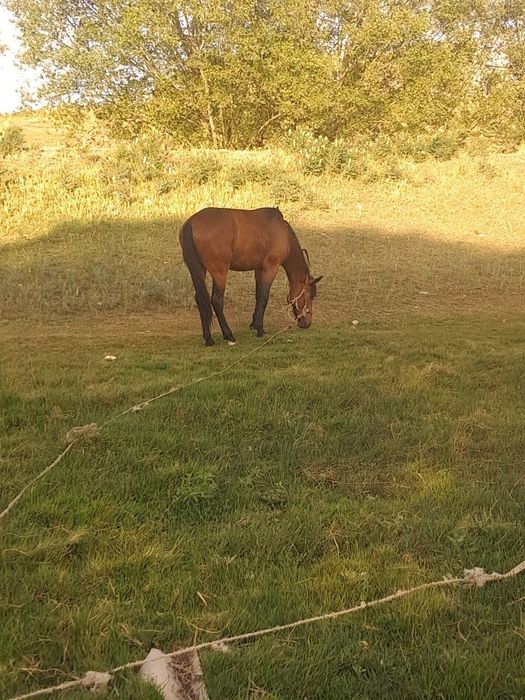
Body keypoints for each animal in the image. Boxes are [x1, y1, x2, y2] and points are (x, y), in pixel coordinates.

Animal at [179, 207, 323, 346]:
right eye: (310, 295)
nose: (307, 323)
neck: (283, 234)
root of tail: (191, 224)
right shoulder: (271, 267)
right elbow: (264, 297)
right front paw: (260, 329)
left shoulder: (259, 269)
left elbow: (258, 295)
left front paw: (254, 324)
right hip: (219, 273)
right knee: (216, 301)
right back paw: (228, 335)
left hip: (199, 270)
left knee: (200, 299)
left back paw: (208, 338)